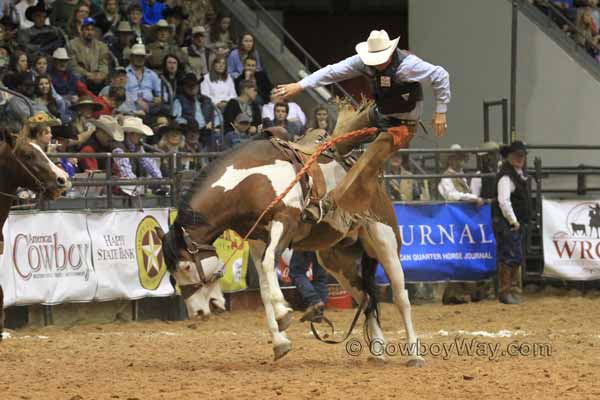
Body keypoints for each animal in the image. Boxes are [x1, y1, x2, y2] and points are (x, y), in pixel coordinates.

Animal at [158, 101, 422, 366]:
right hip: (337, 261)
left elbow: (268, 265)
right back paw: (377, 351)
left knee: (401, 297)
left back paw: (414, 354)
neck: (251, 181)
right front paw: (280, 342)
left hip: (385, 242)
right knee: (366, 297)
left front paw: (283, 314)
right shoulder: (257, 239)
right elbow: (264, 288)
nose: (197, 312)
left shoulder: (285, 221)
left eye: (186, 267)